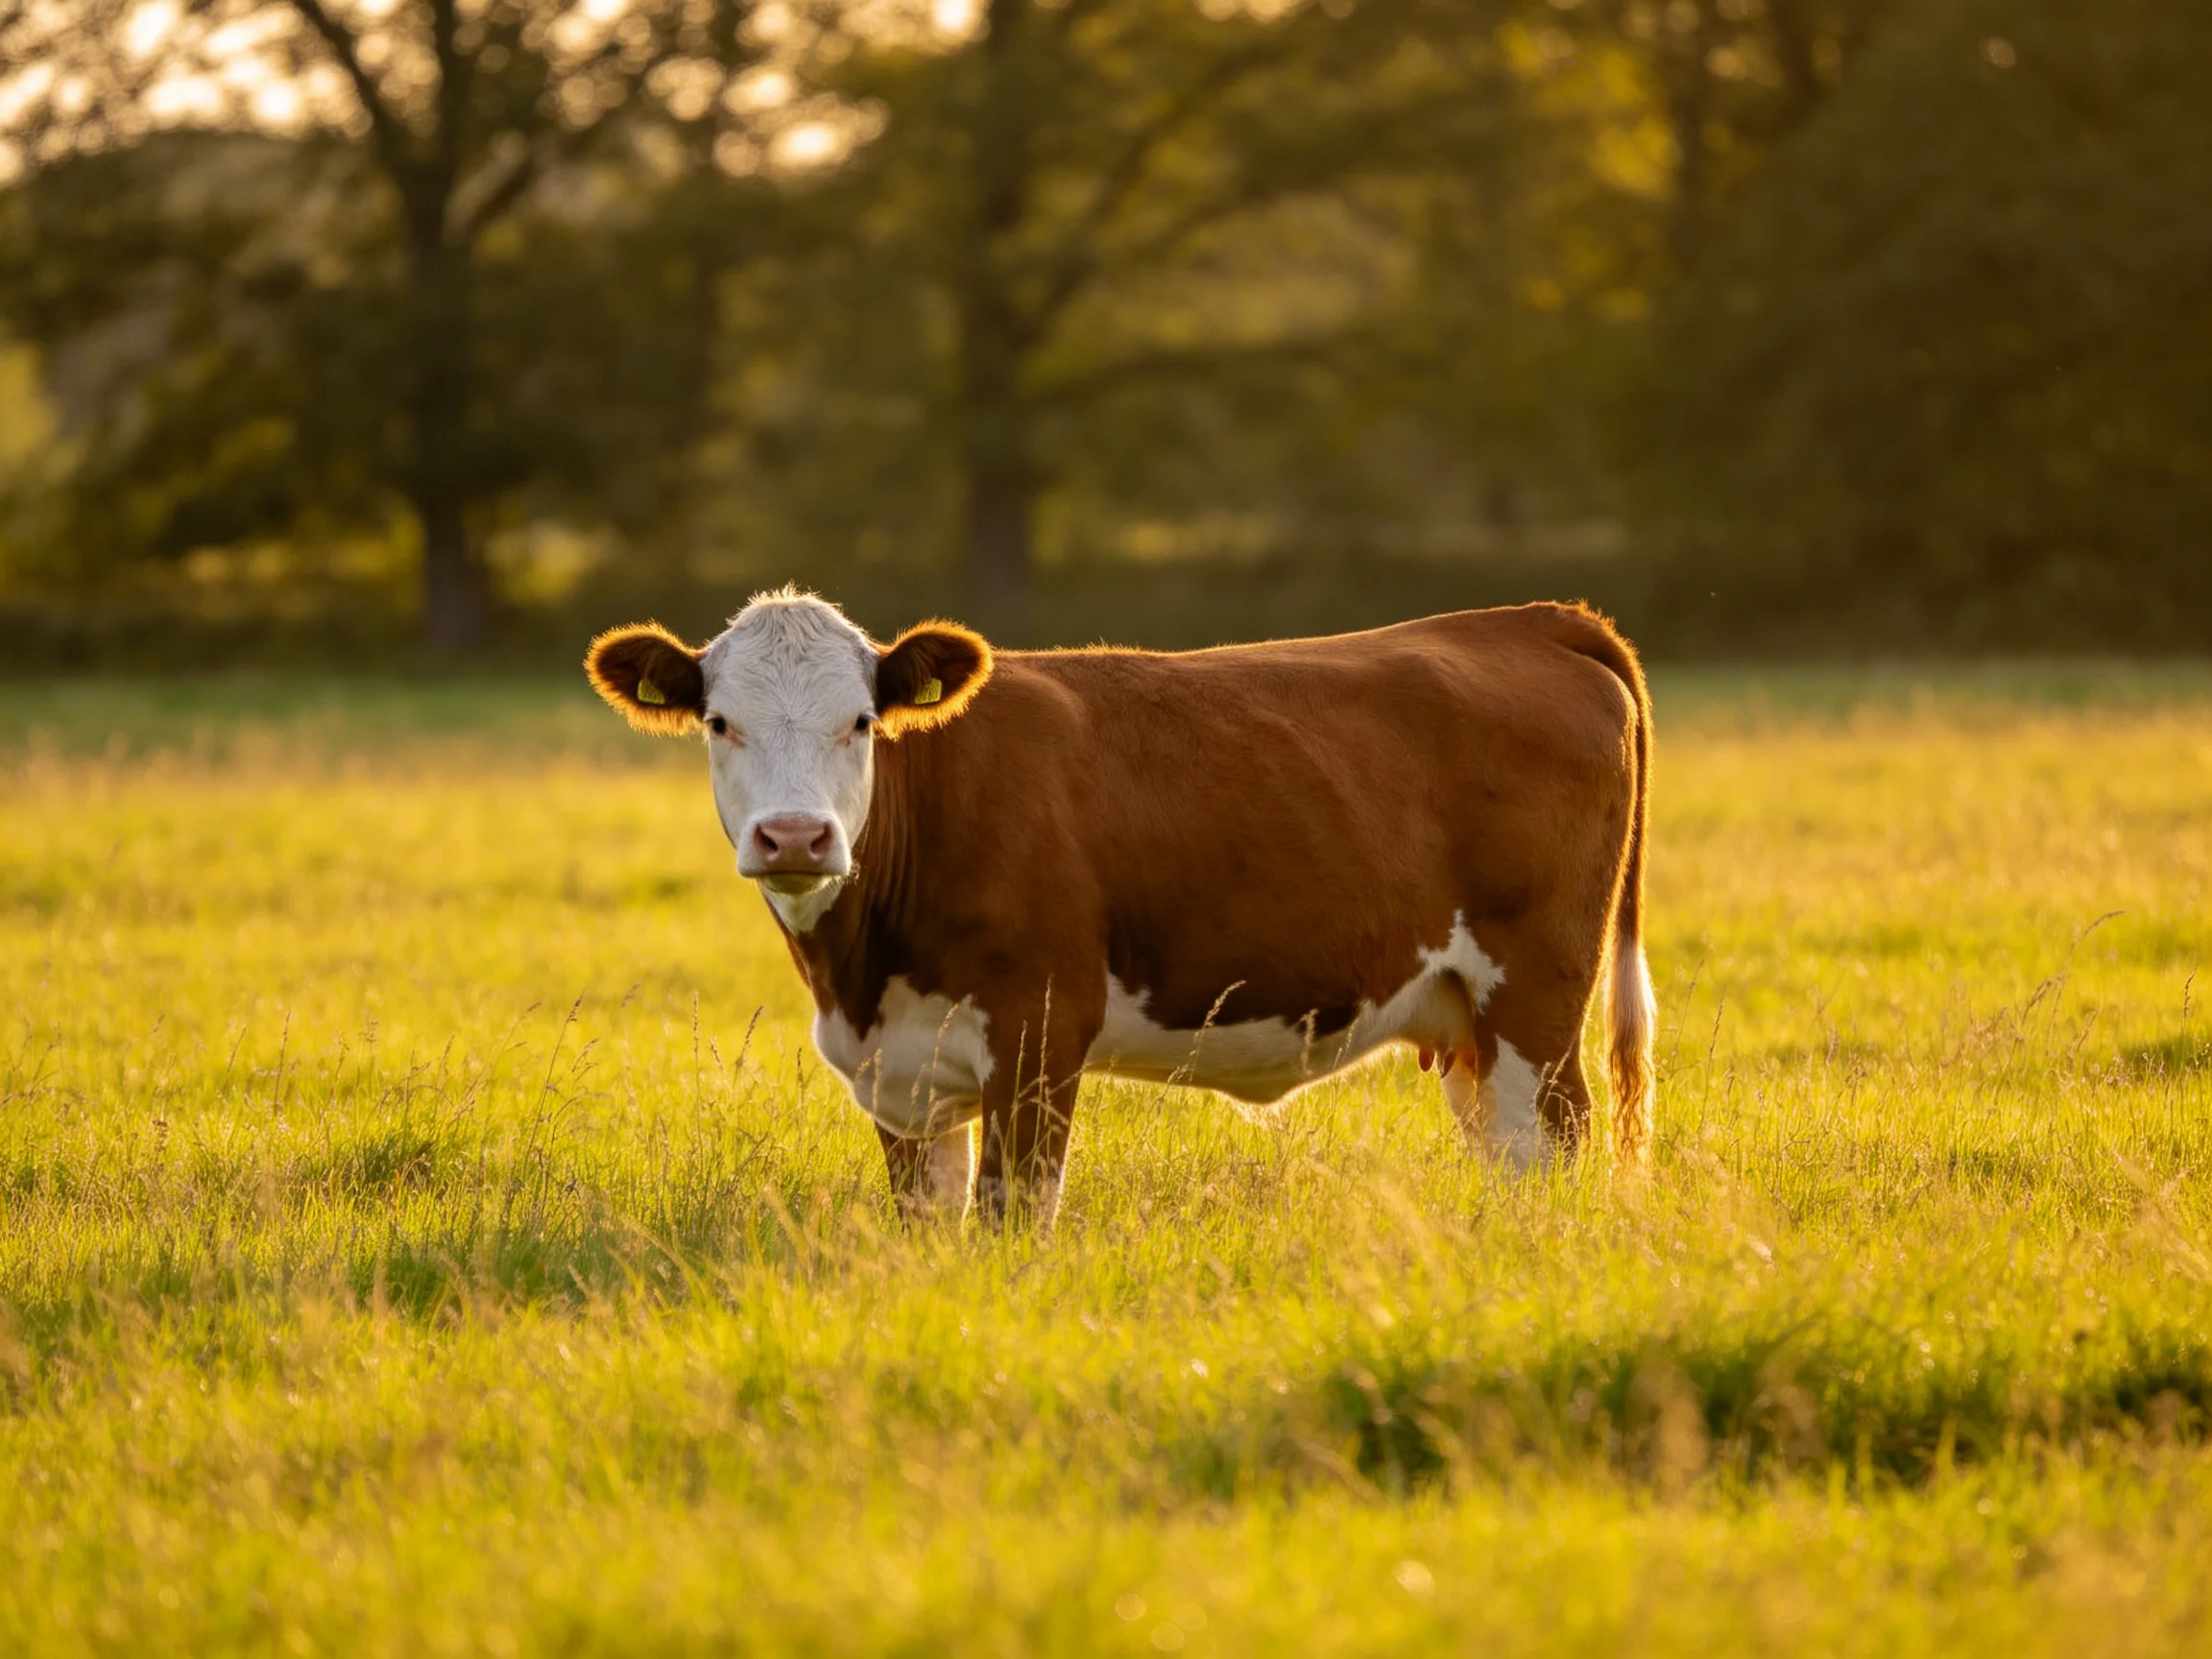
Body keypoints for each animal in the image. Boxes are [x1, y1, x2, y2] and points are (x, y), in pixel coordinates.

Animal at [585, 588, 1655, 1227]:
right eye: (720, 723)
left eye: (861, 722)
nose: (797, 838)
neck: (860, 975)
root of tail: (1524, 618)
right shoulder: (901, 1073)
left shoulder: (1039, 1034)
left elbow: (1013, 1219)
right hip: (1466, 1021)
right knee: (1505, 1153)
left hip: (1535, 996)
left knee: (1554, 1142)